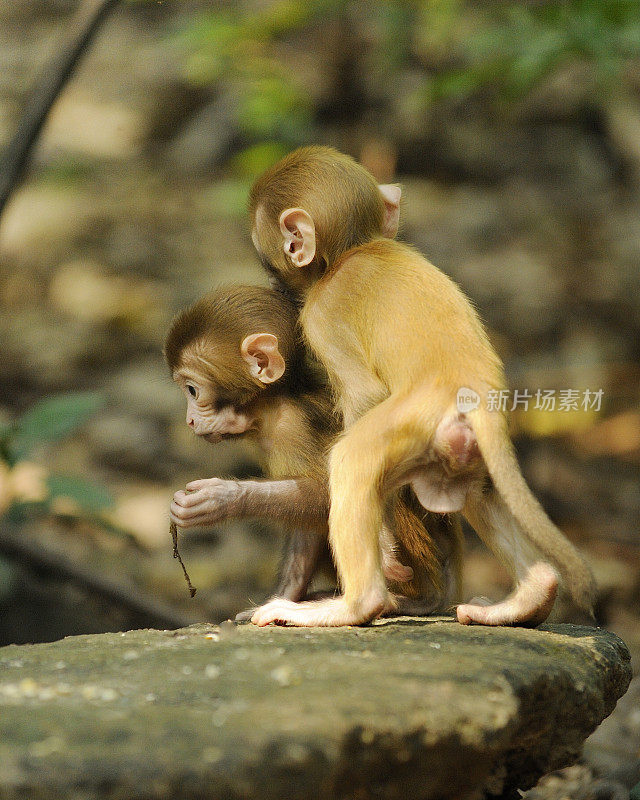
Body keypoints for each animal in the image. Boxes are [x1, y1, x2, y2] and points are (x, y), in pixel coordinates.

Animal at [165, 286, 462, 620]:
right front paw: (286, 594)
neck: (272, 407)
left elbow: (328, 489)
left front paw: (223, 498)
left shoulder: (293, 428)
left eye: (192, 390)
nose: (189, 420)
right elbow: (306, 524)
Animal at [248, 147, 596, 628]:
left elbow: (364, 397)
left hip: (410, 423)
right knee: (479, 492)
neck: (355, 250)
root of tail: (477, 391)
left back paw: (352, 605)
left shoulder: (320, 316)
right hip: (463, 443)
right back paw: (532, 594)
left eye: (268, 260)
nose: (271, 282)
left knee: (353, 461)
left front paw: (385, 546)